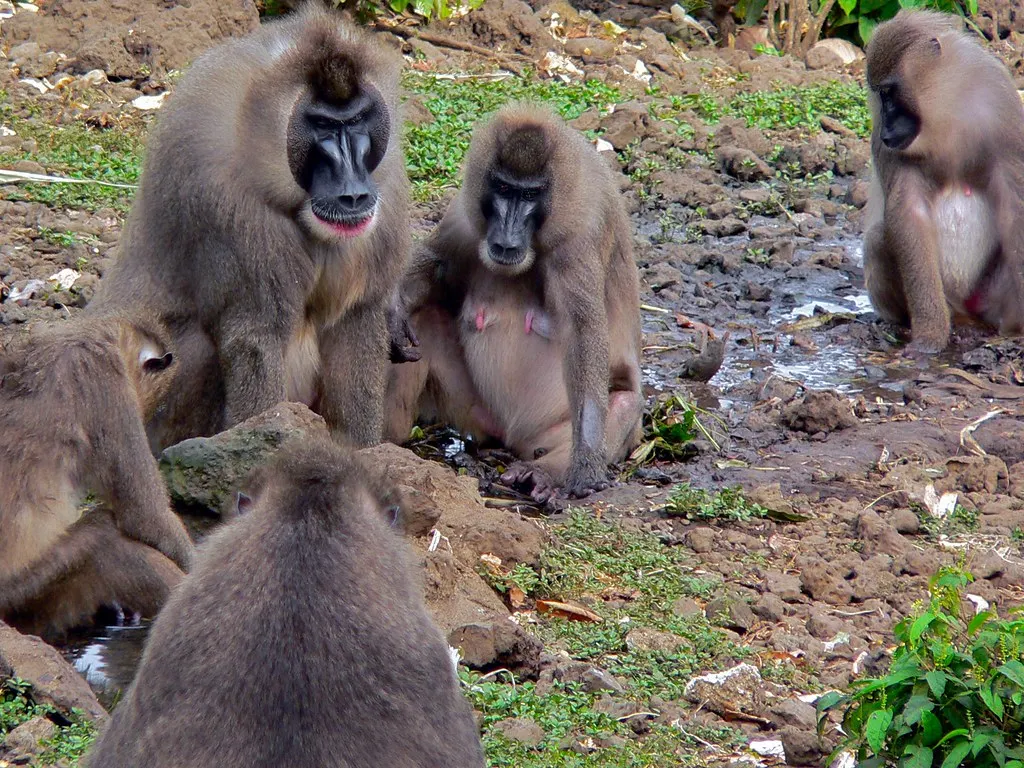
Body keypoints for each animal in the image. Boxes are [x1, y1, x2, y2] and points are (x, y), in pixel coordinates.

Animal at [87, 3, 407, 450]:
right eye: (323, 125)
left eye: (358, 119)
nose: (354, 192)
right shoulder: (223, 195)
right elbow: (256, 338)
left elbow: (356, 325)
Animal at [387, 105, 643, 507]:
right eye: (504, 189)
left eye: (531, 194)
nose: (506, 240)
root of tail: (512, 437)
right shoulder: (467, 215)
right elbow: (436, 263)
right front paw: (395, 311)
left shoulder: (579, 238)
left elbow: (582, 331)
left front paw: (585, 464)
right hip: (473, 411)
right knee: (423, 317)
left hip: (551, 431)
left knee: (621, 405)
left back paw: (541, 474)